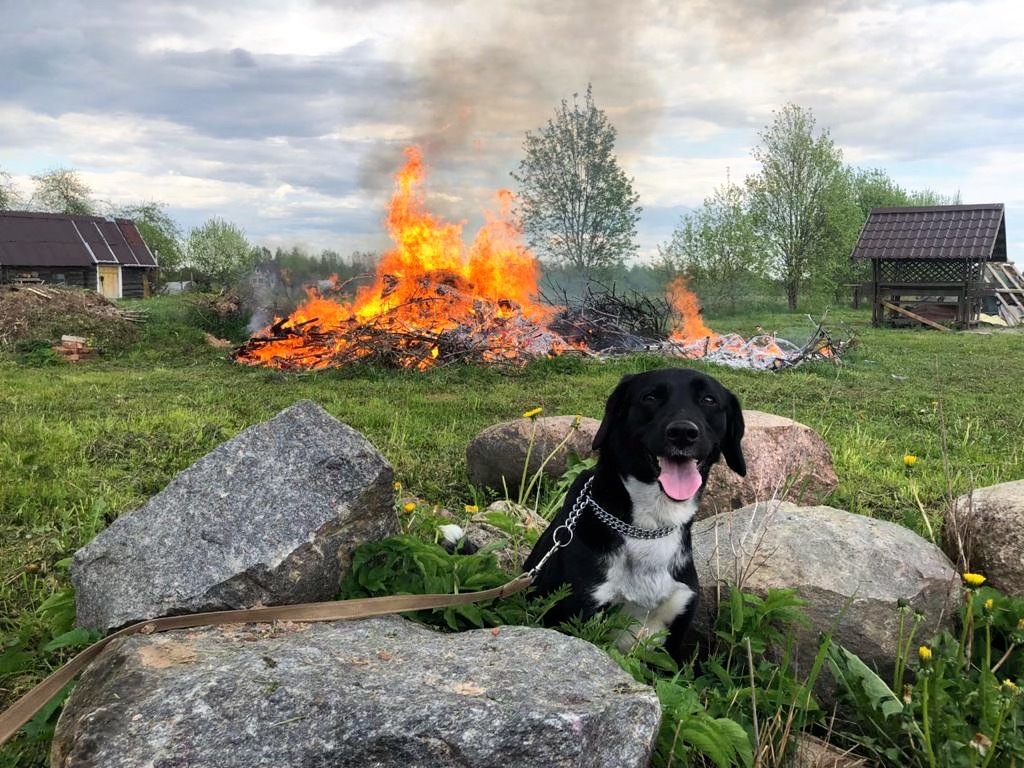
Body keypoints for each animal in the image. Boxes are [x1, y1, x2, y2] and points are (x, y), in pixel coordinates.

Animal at [520, 366, 745, 663]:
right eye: (650, 397)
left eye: (709, 400)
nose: (683, 432)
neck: (649, 527)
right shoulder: (579, 614)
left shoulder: (674, 636)